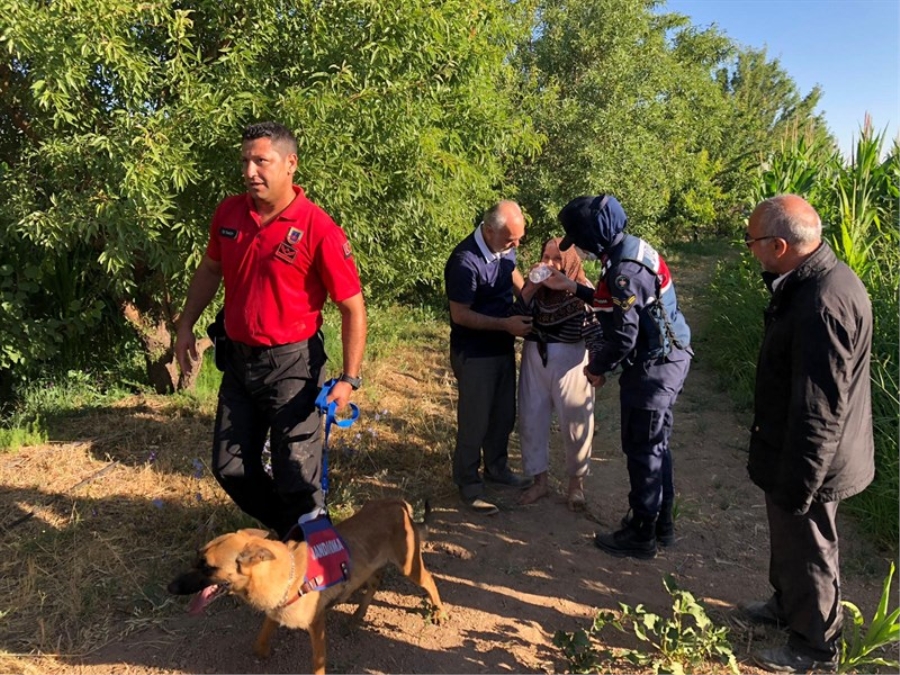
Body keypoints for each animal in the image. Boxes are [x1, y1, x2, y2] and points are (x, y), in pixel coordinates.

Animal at [168, 500, 442, 672]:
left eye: (207, 567)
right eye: (196, 558)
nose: (171, 587)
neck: (284, 571)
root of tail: (399, 504)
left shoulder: (316, 624)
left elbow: (318, 662)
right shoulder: (276, 610)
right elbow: (262, 636)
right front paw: (263, 652)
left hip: (409, 567)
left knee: (429, 579)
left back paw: (439, 612)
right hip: (373, 566)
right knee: (374, 583)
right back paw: (357, 616)